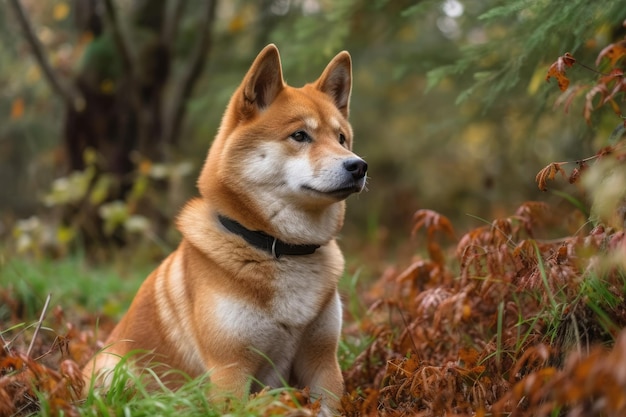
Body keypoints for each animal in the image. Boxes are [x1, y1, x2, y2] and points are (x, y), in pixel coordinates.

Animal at [82, 42, 366, 412]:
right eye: (300, 135)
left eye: (341, 138)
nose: (358, 166)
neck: (278, 247)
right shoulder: (230, 370)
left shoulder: (322, 361)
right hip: (113, 371)